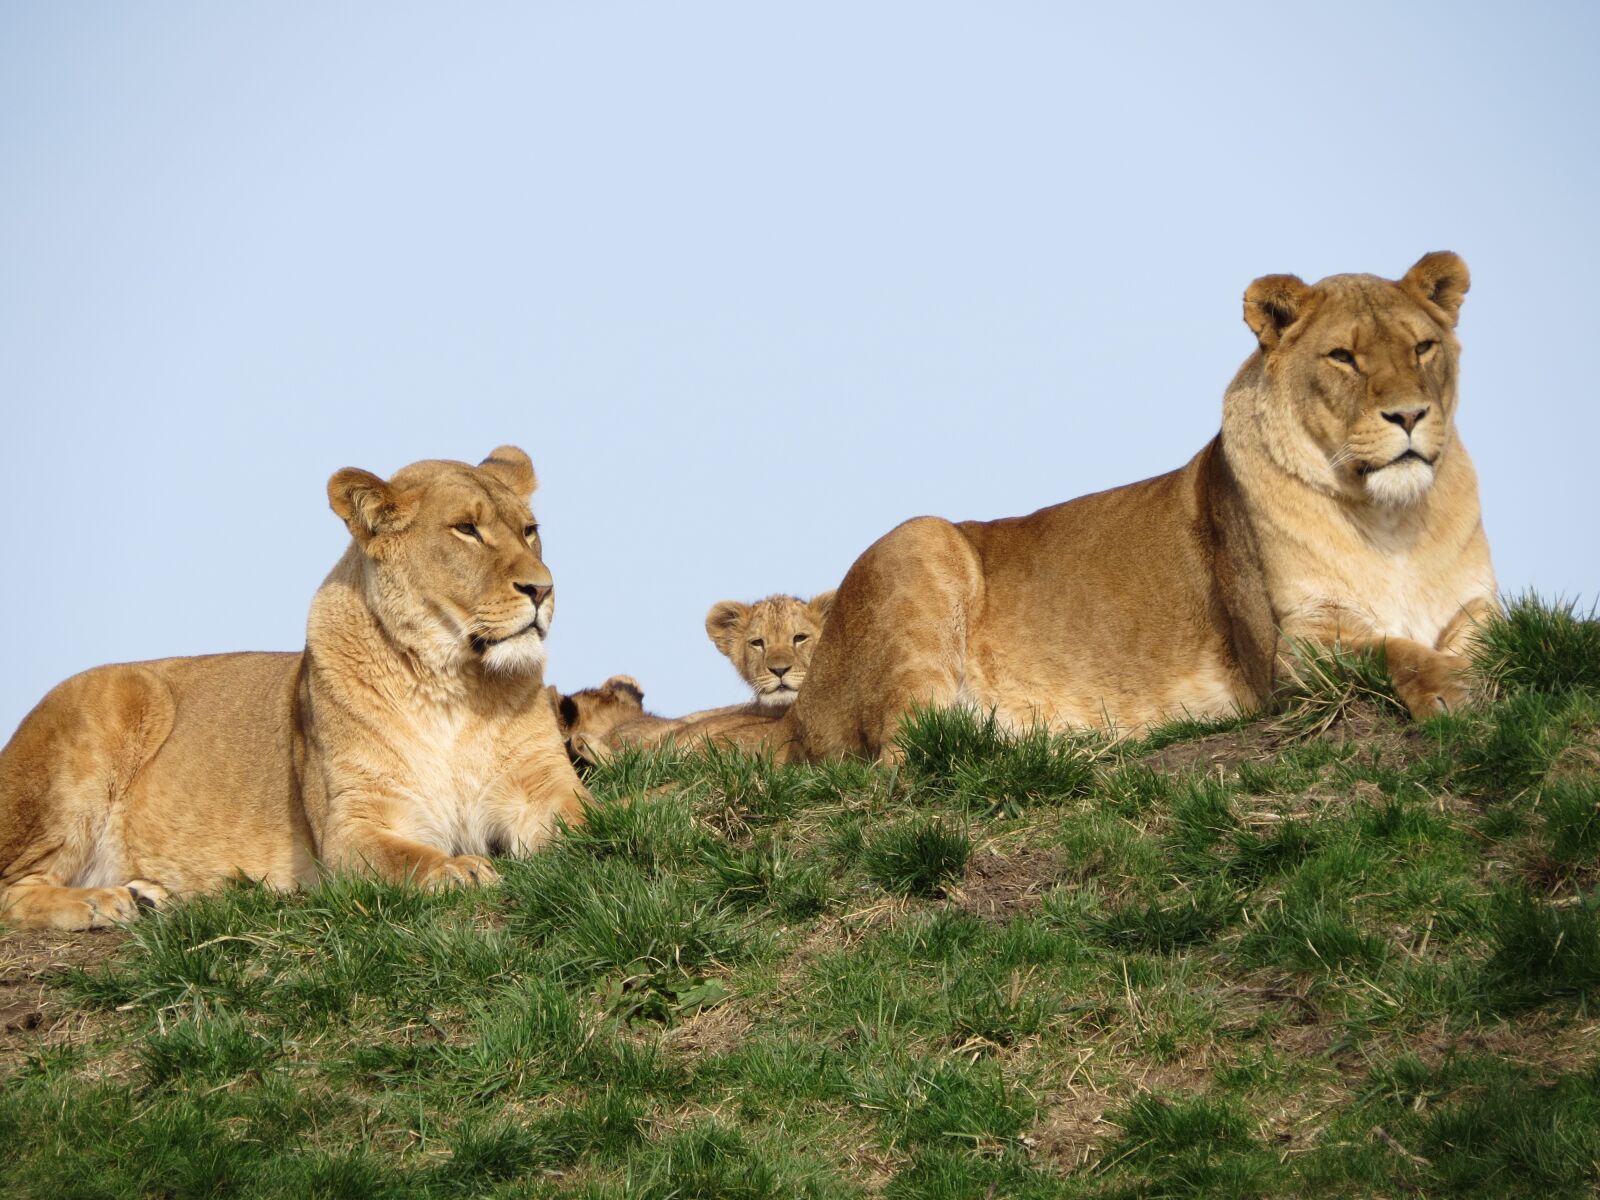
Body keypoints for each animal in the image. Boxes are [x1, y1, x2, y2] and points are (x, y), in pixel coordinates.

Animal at [0, 446, 587, 930]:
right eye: (466, 529)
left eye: (530, 530)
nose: (543, 589)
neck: (452, 685)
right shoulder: (350, 826)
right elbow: (408, 858)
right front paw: (459, 870)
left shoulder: (541, 782)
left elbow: (586, 817)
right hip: (105, 719)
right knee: (12, 889)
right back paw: (101, 902)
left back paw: (144, 895)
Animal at [792, 252, 1498, 762]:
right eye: (1343, 356)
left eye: (1423, 347)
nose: (1409, 415)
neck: (1390, 519)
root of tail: (800, 711)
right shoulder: (1291, 649)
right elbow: (1390, 649)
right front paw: (1452, 688)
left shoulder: (1477, 606)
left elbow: (1487, 638)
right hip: (920, 542)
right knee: (905, 761)